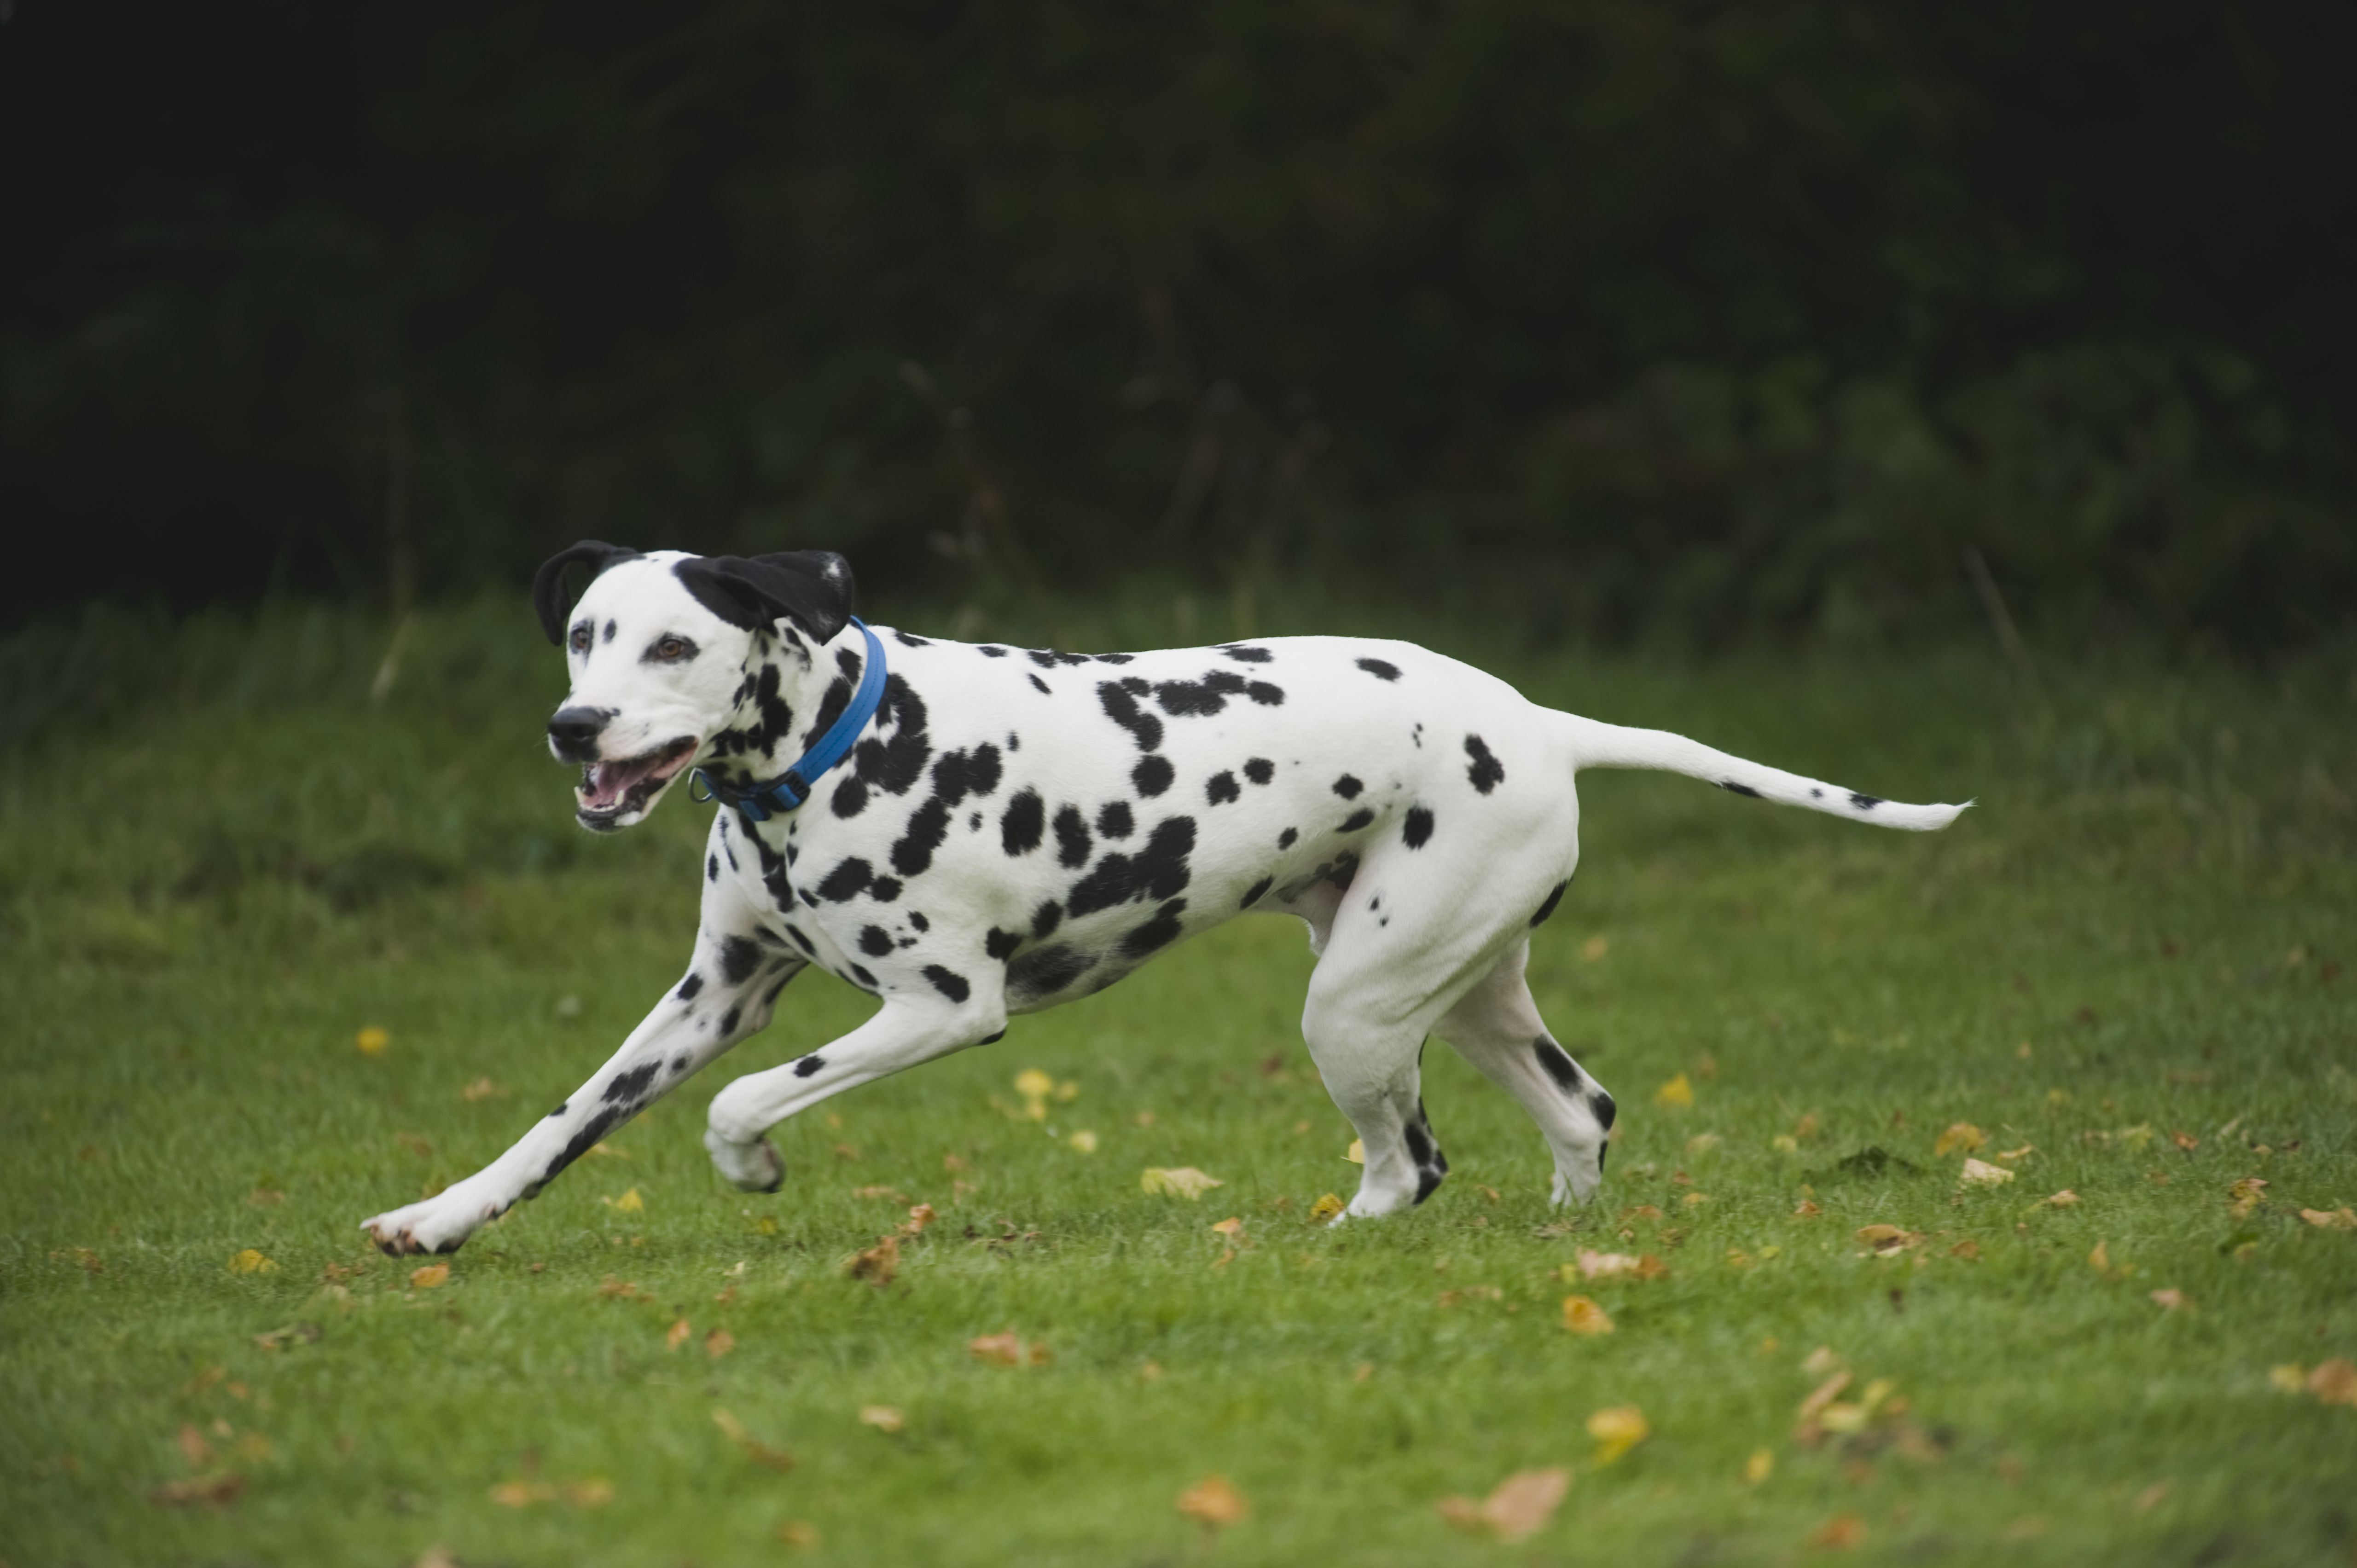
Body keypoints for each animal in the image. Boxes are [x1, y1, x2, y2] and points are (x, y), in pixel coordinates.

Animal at [354, 544, 1970, 1254]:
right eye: (583, 634)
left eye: (677, 646)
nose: (573, 727)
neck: (830, 750)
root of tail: (1540, 719)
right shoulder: (713, 993)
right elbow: (562, 1119)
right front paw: (442, 1215)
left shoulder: (941, 1007)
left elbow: (744, 1101)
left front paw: (752, 1168)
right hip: (1455, 995)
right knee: (1579, 1110)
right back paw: (1567, 1234)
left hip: (1355, 1008)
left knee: (1410, 1163)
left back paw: (1345, 1234)